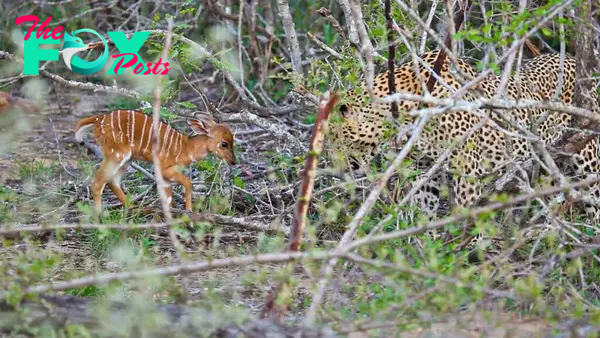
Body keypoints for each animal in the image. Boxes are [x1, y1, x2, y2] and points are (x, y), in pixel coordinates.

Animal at [74, 109, 236, 213]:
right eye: (224, 144)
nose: (233, 162)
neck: (187, 148)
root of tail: (98, 120)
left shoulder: (165, 176)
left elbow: (168, 195)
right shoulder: (165, 169)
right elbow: (187, 183)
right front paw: (188, 209)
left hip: (126, 159)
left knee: (112, 181)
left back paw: (135, 208)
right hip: (117, 154)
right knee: (98, 182)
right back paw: (99, 216)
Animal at [326, 48, 600, 248]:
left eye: (332, 138)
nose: (334, 168)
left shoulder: (466, 164)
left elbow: (467, 209)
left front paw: (468, 249)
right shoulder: (425, 166)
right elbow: (424, 206)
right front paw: (425, 244)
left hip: (588, 156)